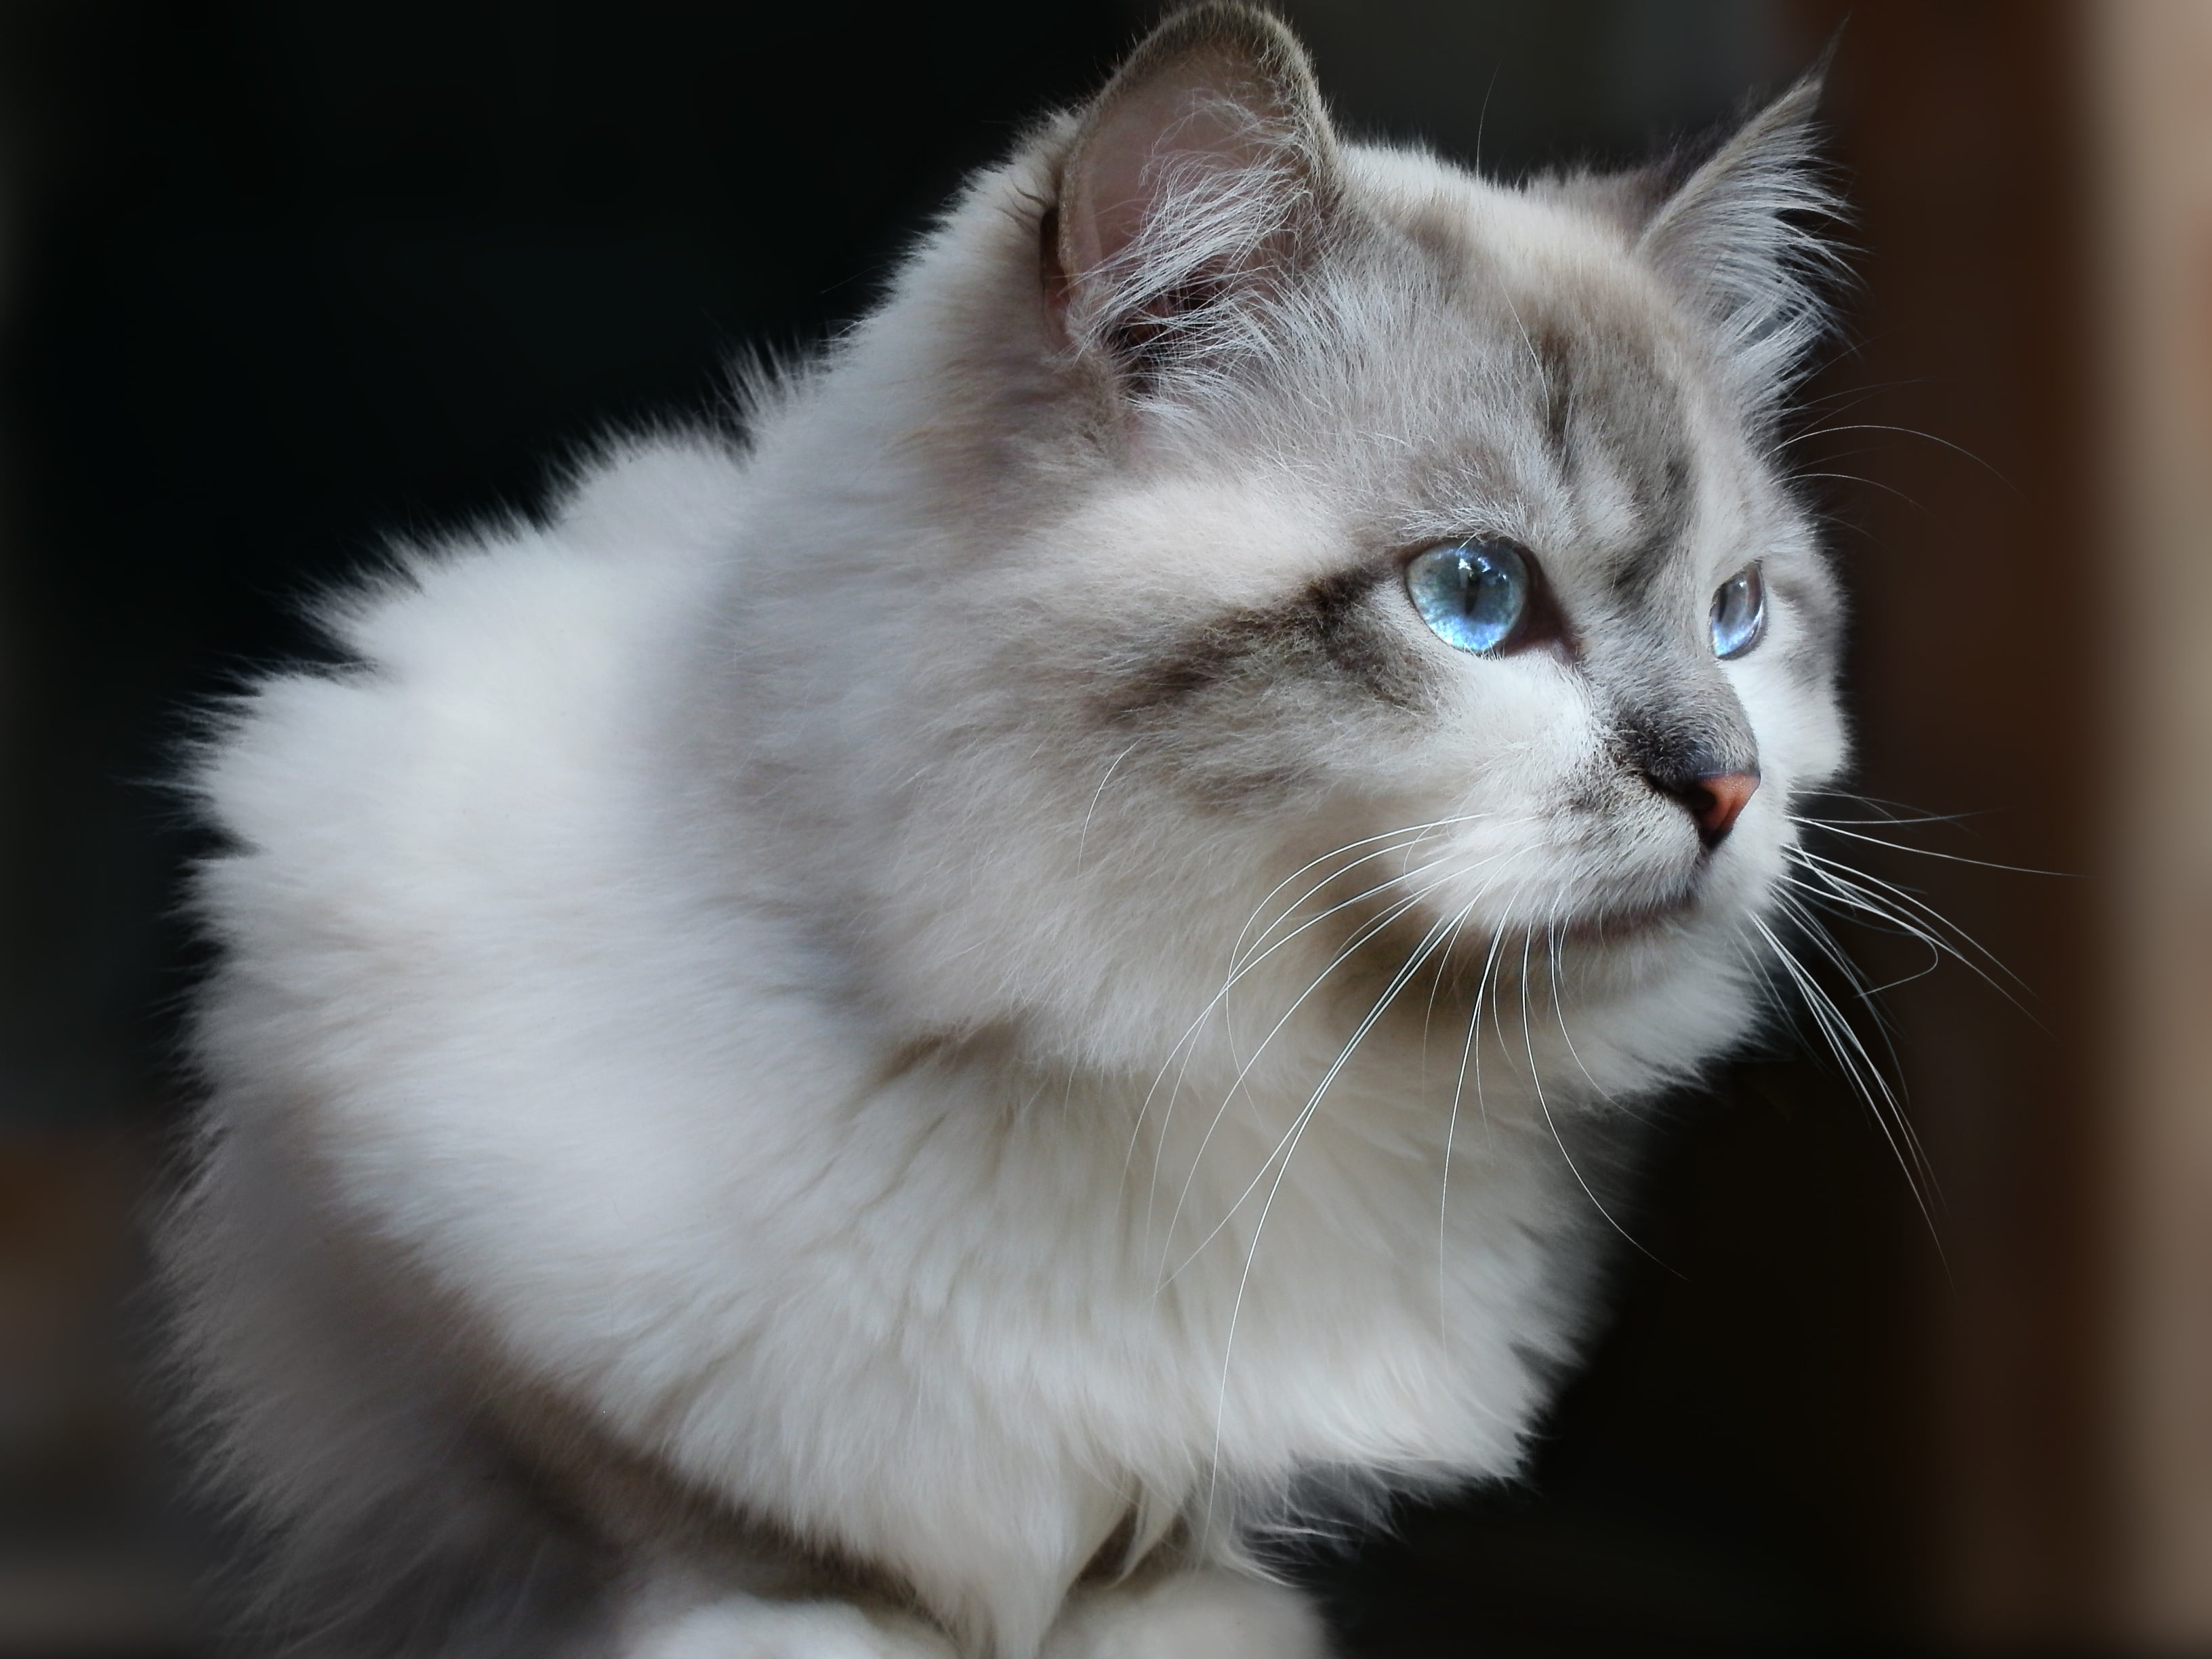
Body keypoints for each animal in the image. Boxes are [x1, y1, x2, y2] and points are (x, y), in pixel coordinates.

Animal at [160, 6, 1849, 1654]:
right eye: (1477, 598)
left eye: (1737, 617)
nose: (1728, 787)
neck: (1196, 1056)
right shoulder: (443, 1273)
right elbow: (739, 1553)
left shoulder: (1172, 1520)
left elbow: (1152, 1581)